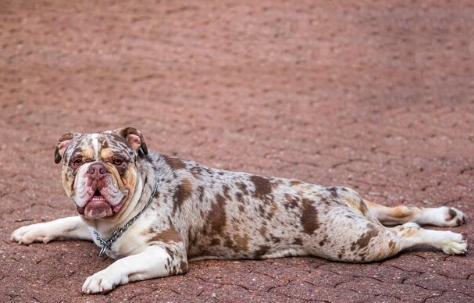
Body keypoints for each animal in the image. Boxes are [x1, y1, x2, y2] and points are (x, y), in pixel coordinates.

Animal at [10, 127, 466, 294]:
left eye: (118, 160)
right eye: (76, 160)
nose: (97, 170)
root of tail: (338, 196)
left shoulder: (167, 254)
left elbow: (122, 263)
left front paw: (102, 277)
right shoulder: (92, 223)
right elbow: (67, 219)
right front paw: (32, 230)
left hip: (356, 243)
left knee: (405, 232)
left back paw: (448, 240)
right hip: (362, 221)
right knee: (398, 209)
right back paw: (445, 217)